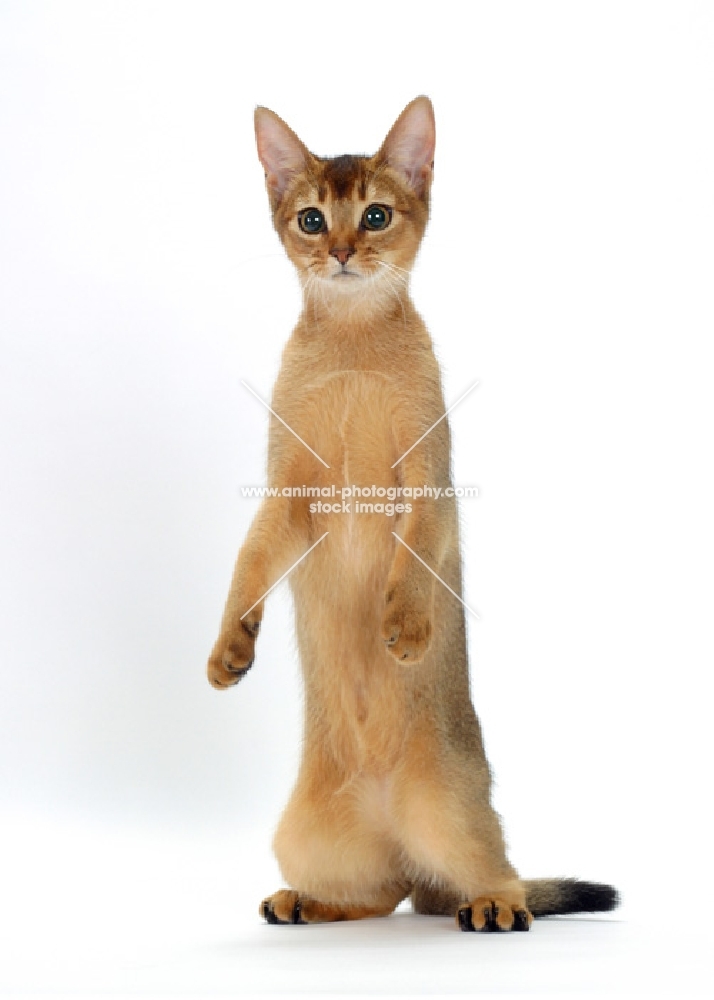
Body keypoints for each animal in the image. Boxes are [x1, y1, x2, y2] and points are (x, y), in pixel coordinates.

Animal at [206, 97, 616, 932]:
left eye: (375, 214)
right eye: (310, 219)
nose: (339, 251)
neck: (354, 347)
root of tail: (391, 819)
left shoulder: (430, 476)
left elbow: (418, 547)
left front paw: (406, 624)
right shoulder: (288, 494)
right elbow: (250, 558)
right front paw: (230, 645)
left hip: (454, 816)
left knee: (484, 876)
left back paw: (493, 907)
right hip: (306, 835)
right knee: (382, 891)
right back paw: (302, 901)